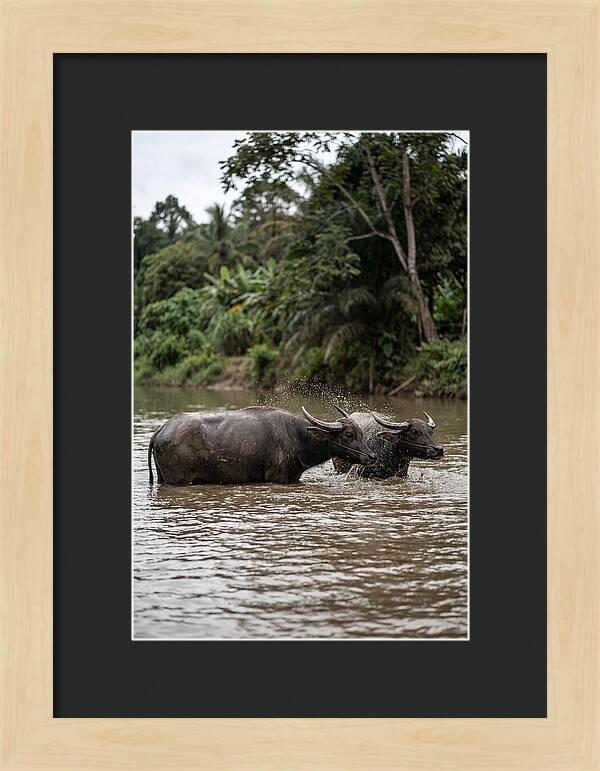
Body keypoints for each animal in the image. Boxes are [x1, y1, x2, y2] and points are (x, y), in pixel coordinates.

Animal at [148, 405, 377, 486]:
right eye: (349, 434)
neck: (297, 437)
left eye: (362, 433)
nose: (372, 456)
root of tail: (162, 429)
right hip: (179, 480)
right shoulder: (277, 477)